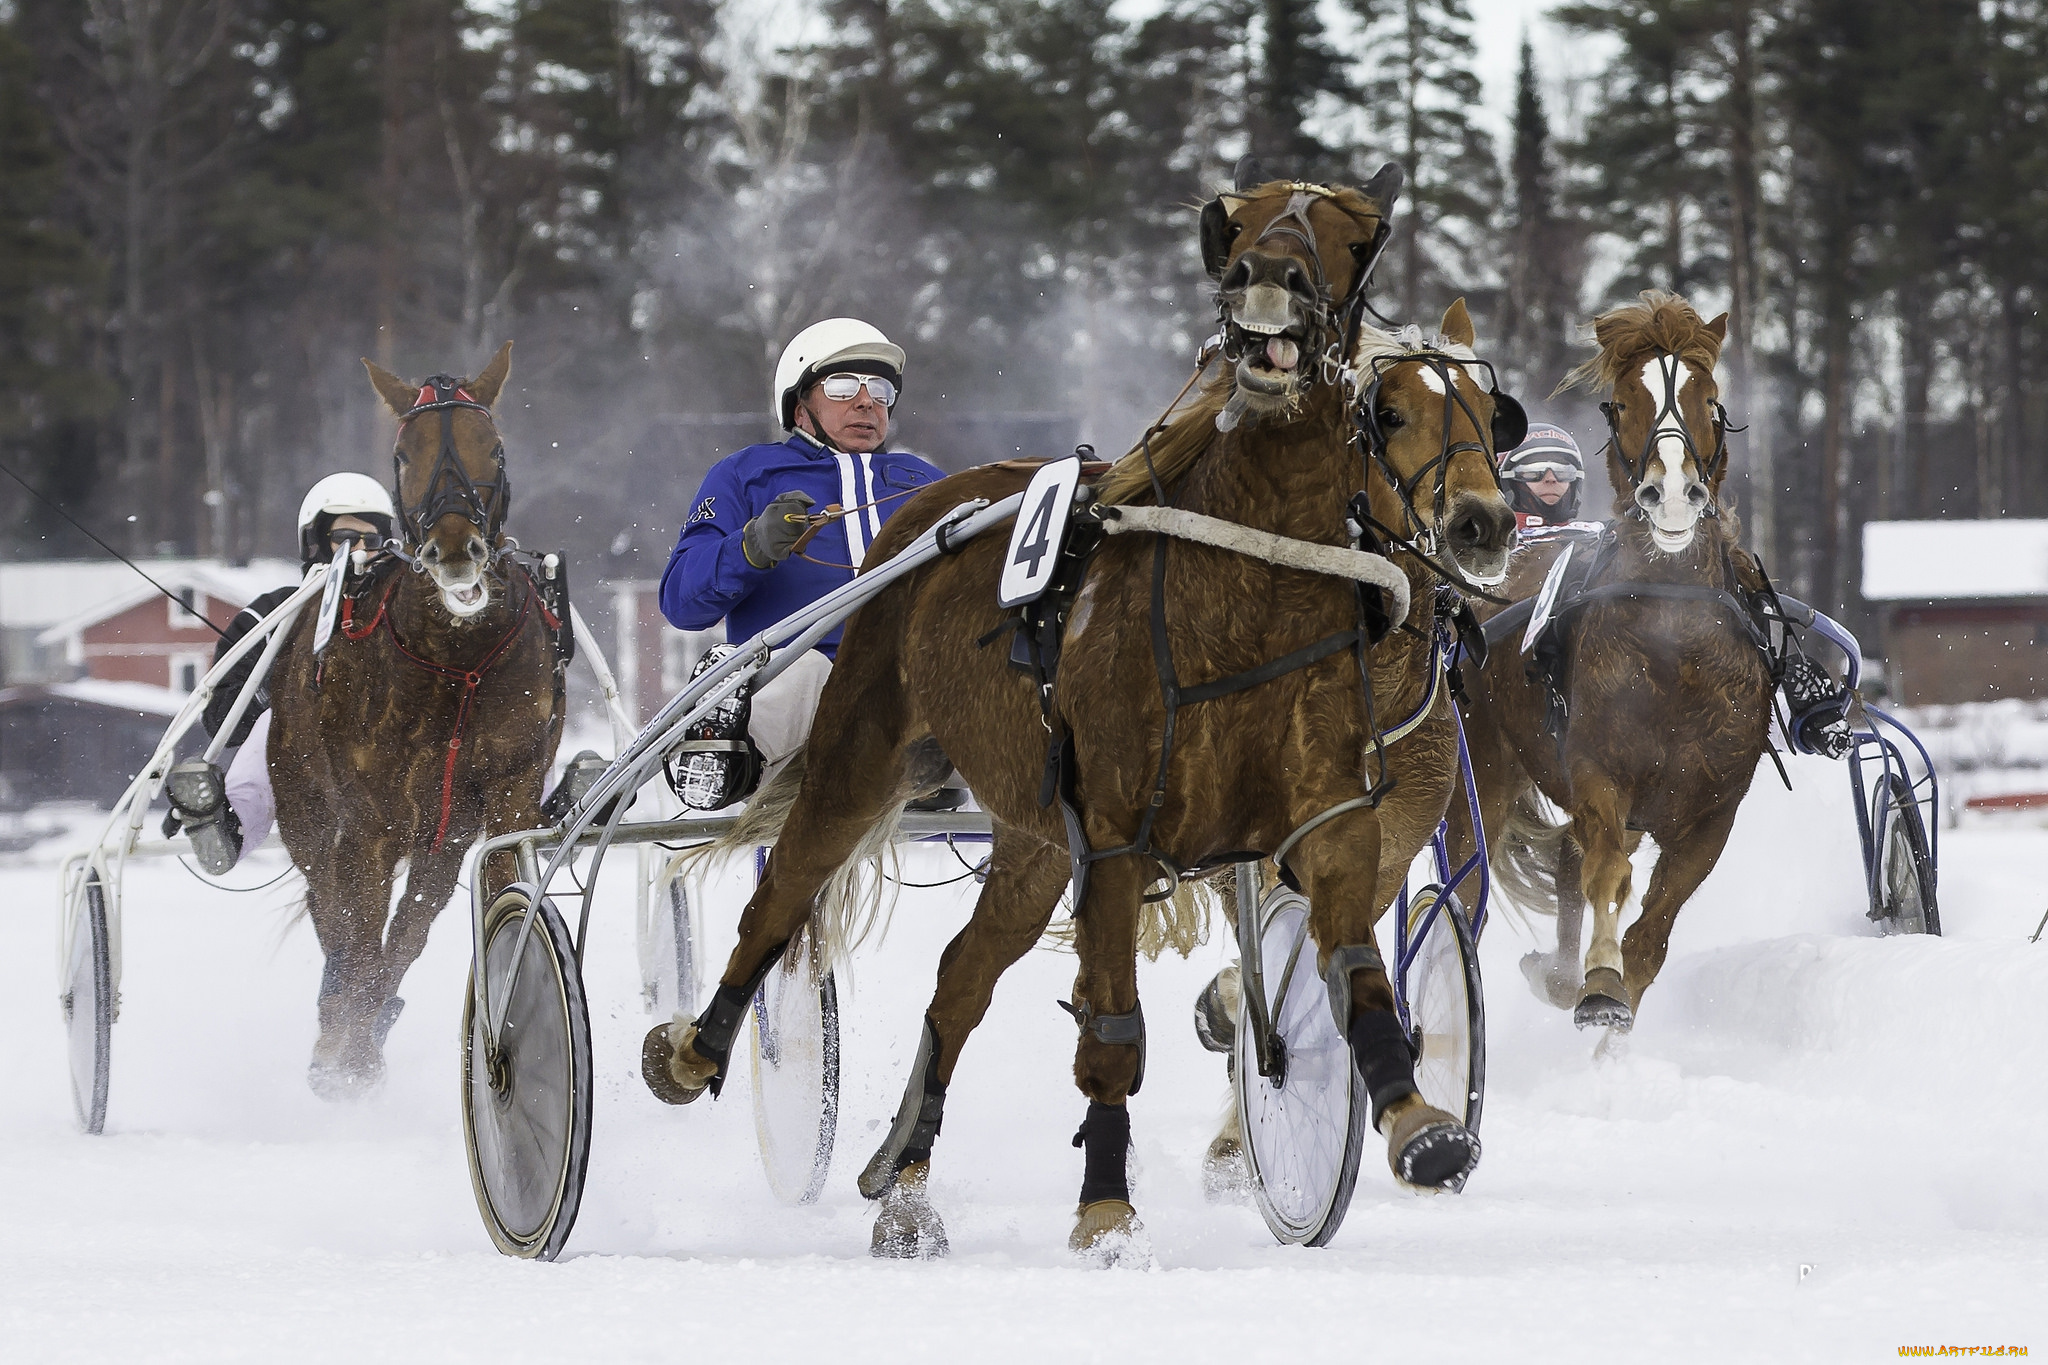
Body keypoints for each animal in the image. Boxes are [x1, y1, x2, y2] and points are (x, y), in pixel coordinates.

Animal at [270, 343, 569, 1096]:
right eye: (404, 453)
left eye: (494, 446)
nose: (456, 550)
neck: (454, 661)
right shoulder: (367, 820)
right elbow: (358, 937)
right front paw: (345, 1057)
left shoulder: (502, 794)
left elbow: (438, 923)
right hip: (306, 812)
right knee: (334, 916)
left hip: (441, 833)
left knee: (405, 926)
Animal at [1458, 294, 1777, 1031]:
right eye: (1625, 401)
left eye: (1708, 399)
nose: (1672, 495)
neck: (1676, 650)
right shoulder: (1600, 774)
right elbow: (1605, 876)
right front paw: (1600, 984)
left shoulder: (1712, 812)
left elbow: (1651, 932)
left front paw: (1614, 1001)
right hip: (1483, 769)